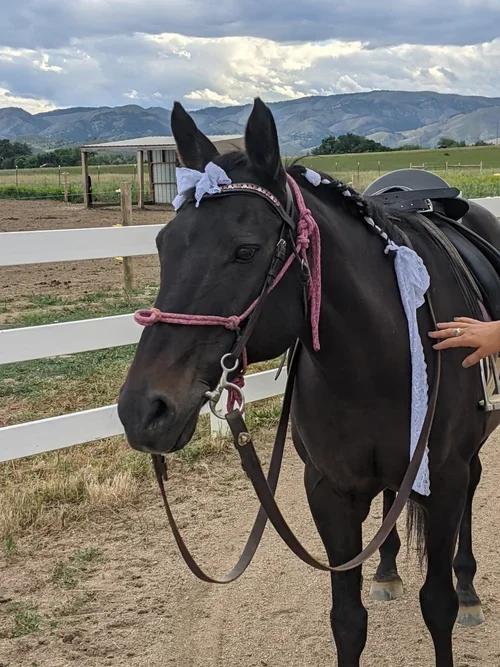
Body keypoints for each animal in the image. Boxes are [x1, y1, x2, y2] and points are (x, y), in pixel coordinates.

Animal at [117, 97, 500, 666]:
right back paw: (387, 569)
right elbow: (347, 620)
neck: (375, 362)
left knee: (471, 489)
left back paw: (469, 584)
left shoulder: (445, 481)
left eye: (246, 250)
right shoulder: (328, 491)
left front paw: (457, 593)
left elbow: (439, 605)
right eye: (164, 245)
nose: (143, 411)